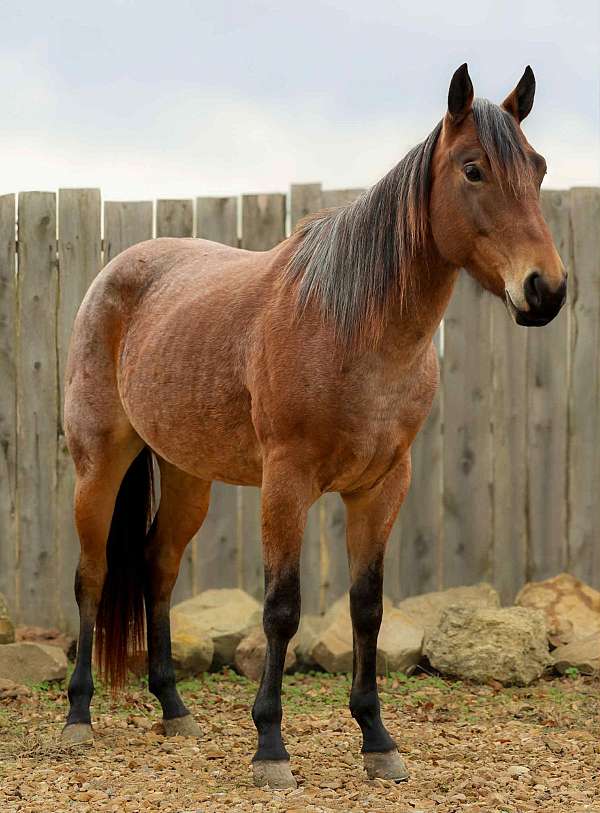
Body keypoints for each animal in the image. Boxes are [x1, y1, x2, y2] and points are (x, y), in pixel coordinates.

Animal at [61, 63, 566, 789]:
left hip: (187, 477)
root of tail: (113, 273)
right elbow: (281, 608)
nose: (544, 290)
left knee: (157, 567)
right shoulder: (287, 482)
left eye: (539, 167)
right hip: (99, 462)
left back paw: (175, 709)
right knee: (93, 575)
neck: (351, 325)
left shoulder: (382, 486)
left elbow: (367, 607)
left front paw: (377, 740)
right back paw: (78, 717)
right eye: (474, 169)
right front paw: (270, 747)